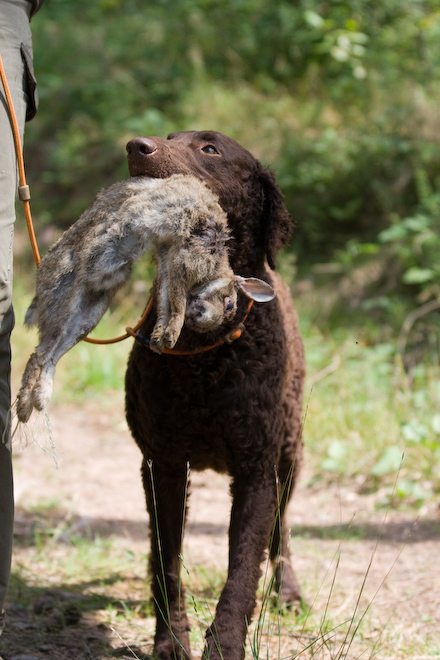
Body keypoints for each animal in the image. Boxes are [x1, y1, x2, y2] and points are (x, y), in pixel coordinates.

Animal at [123, 131, 302, 660]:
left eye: (210, 149)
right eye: (169, 136)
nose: (136, 145)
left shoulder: (256, 469)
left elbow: (241, 572)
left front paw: (223, 645)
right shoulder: (162, 462)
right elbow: (166, 562)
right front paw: (169, 641)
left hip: (289, 453)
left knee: (281, 533)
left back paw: (288, 591)